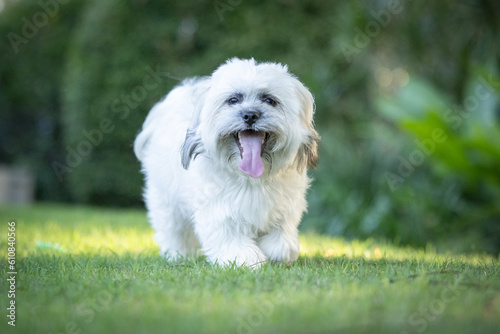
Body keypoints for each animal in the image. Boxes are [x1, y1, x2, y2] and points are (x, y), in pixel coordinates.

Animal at [135, 57, 318, 266]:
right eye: (233, 100)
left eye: (269, 100)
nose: (250, 115)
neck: (251, 178)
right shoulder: (219, 212)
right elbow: (231, 240)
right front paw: (246, 259)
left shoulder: (285, 209)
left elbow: (282, 241)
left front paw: (274, 253)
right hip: (166, 201)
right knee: (174, 230)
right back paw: (177, 254)